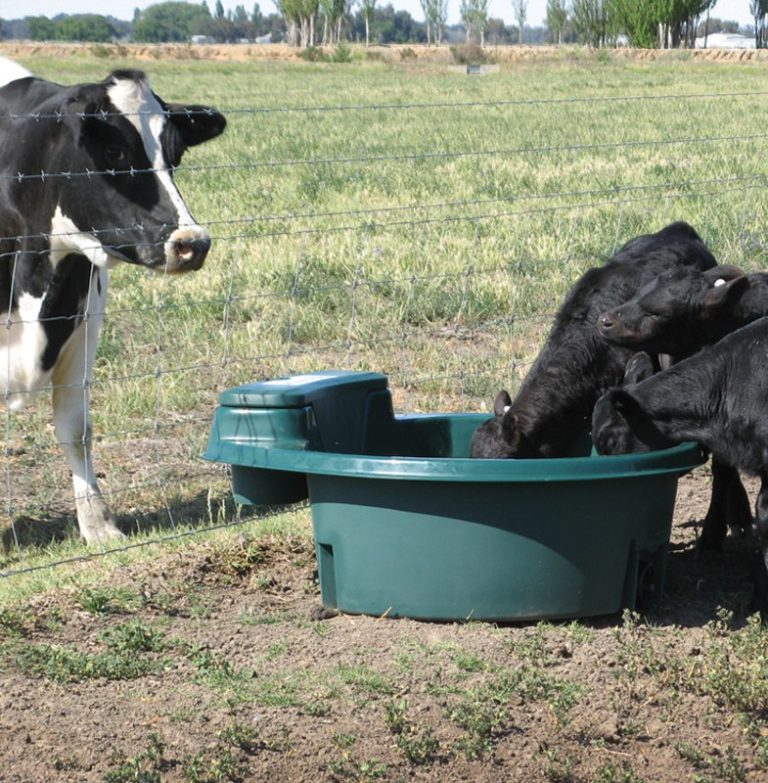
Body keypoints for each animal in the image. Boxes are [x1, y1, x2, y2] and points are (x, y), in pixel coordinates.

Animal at [0, 58, 226, 544]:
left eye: (175, 156)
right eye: (115, 153)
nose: (192, 243)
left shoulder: (83, 323)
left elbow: (76, 430)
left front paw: (99, 525)